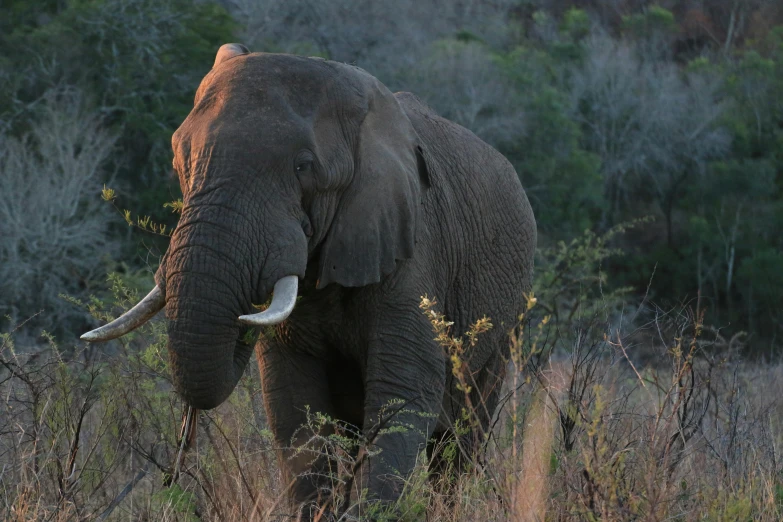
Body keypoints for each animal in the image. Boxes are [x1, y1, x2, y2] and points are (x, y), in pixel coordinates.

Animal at [84, 43, 540, 512]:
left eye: (304, 167)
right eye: (179, 160)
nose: (174, 470)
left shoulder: (415, 246)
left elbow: (402, 392)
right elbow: (293, 400)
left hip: (505, 320)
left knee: (462, 433)